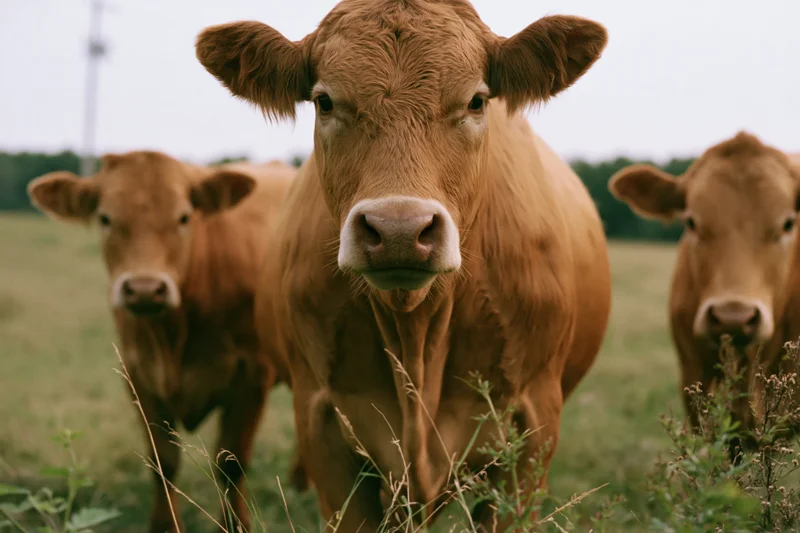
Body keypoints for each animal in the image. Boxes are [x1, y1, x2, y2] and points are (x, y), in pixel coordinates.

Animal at [26, 152, 305, 533]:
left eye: (184, 217)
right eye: (105, 218)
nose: (144, 289)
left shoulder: (252, 378)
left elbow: (231, 465)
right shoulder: (139, 377)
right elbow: (164, 463)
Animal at [197, 0, 612, 529]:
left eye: (476, 101)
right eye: (324, 102)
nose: (398, 229)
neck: (415, 334)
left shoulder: (533, 425)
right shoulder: (320, 422)